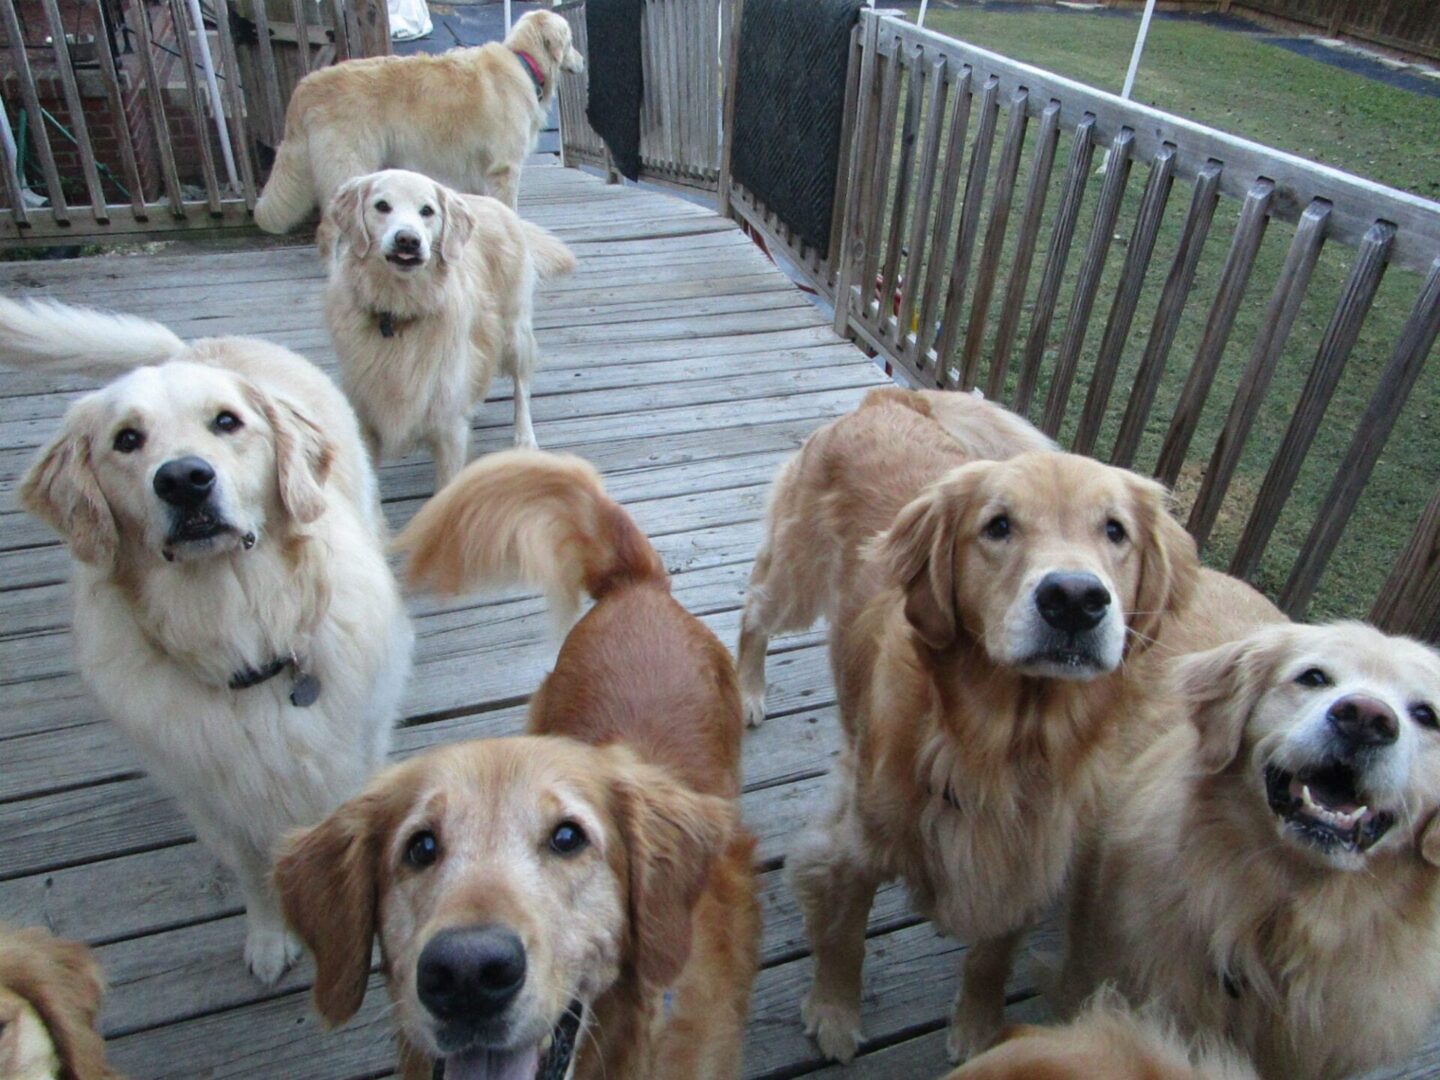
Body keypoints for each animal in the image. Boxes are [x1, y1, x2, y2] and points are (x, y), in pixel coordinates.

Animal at [2, 298, 414, 990]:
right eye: (127, 439)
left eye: (227, 422)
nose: (185, 479)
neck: (238, 624)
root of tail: (193, 346)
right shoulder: (212, 794)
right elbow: (252, 870)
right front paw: (270, 938)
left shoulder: (351, 754)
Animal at [324, 168, 576, 486]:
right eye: (382, 206)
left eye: (427, 211)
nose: (407, 240)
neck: (398, 311)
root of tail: (493, 202)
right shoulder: (367, 419)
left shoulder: (449, 431)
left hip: (514, 331)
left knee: (522, 386)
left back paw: (524, 438)